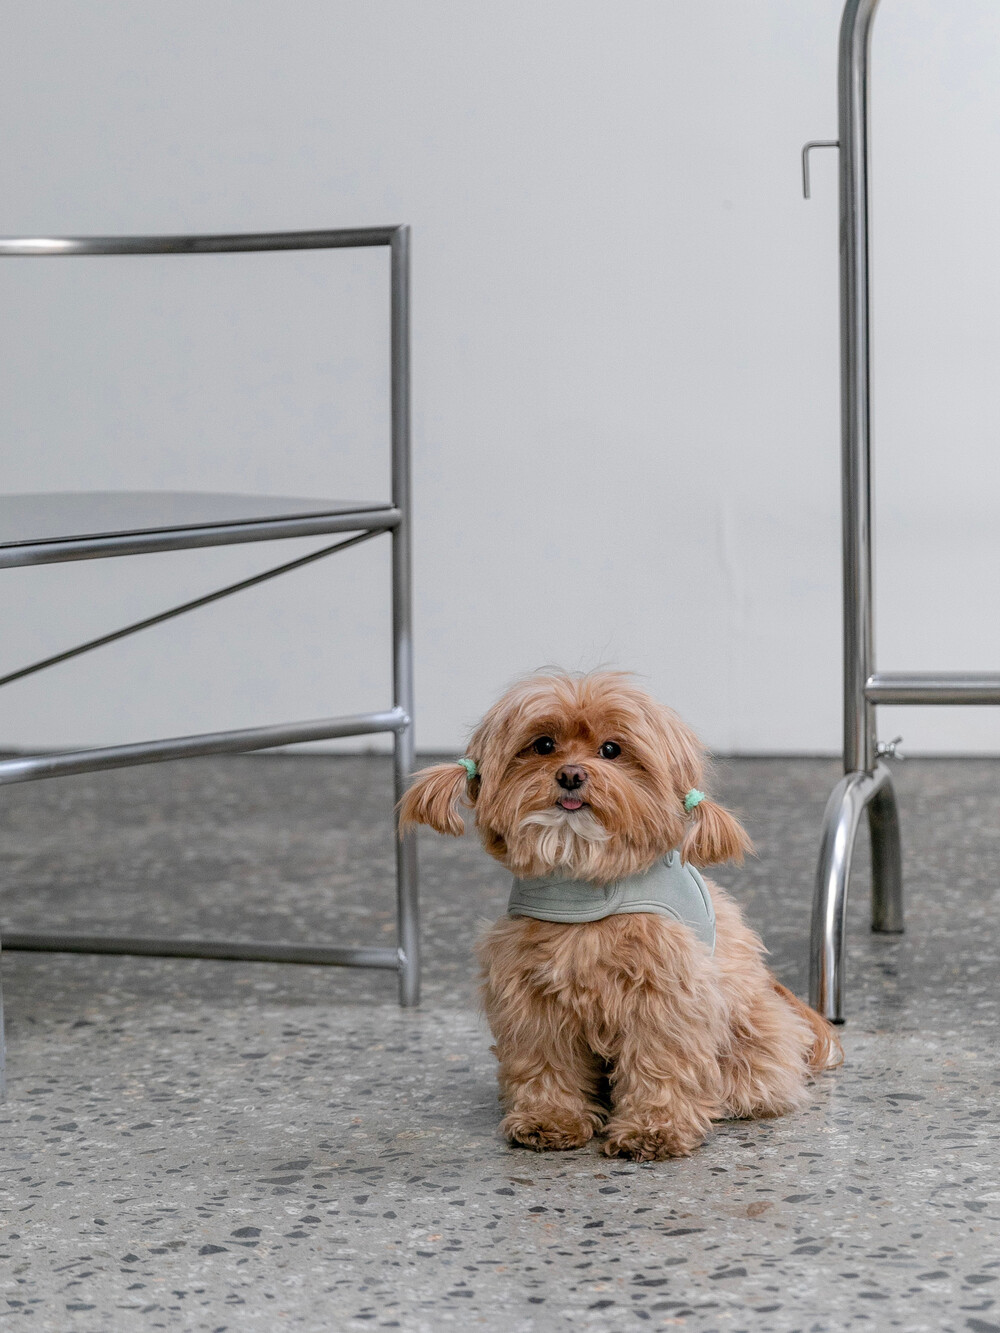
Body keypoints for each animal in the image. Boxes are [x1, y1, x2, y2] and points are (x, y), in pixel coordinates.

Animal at [400, 671, 841, 1160]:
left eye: (611, 749)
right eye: (543, 745)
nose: (571, 775)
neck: (583, 875)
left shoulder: (663, 995)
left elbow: (660, 1061)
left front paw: (655, 1128)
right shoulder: (530, 994)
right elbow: (544, 1059)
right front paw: (549, 1118)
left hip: (751, 1029)